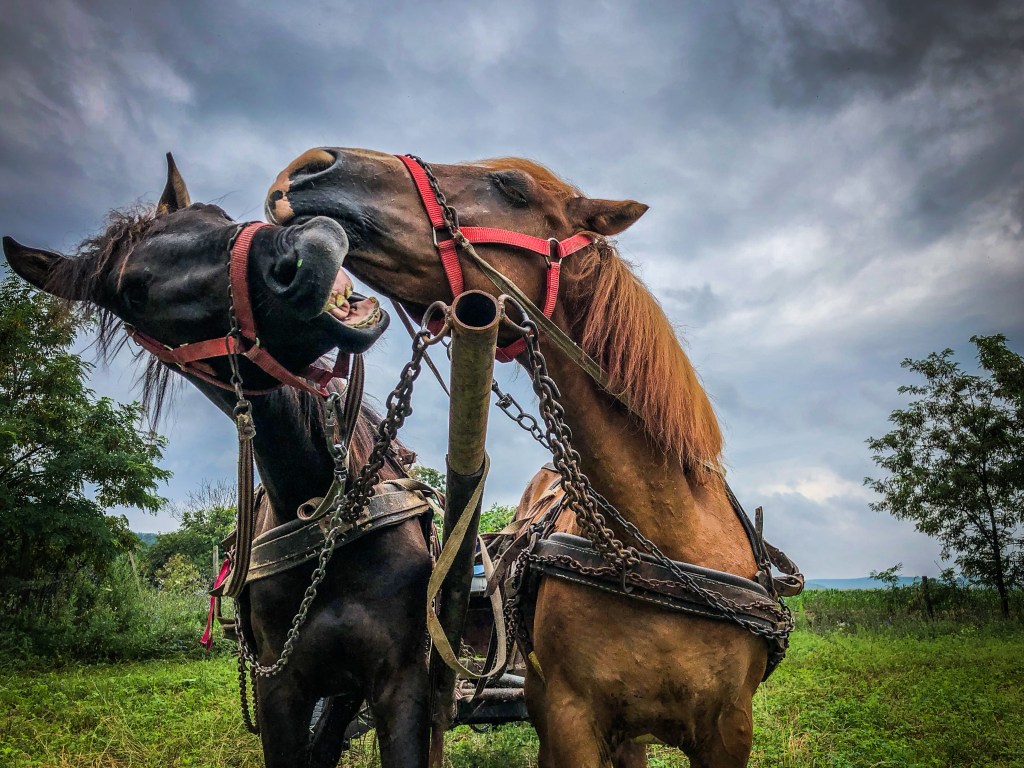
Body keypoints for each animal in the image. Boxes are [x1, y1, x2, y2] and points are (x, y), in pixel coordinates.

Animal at [2, 157, 432, 768]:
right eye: (133, 292)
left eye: (216, 214)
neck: (322, 513)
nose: (311, 249)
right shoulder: (279, 689)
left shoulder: (401, 680)